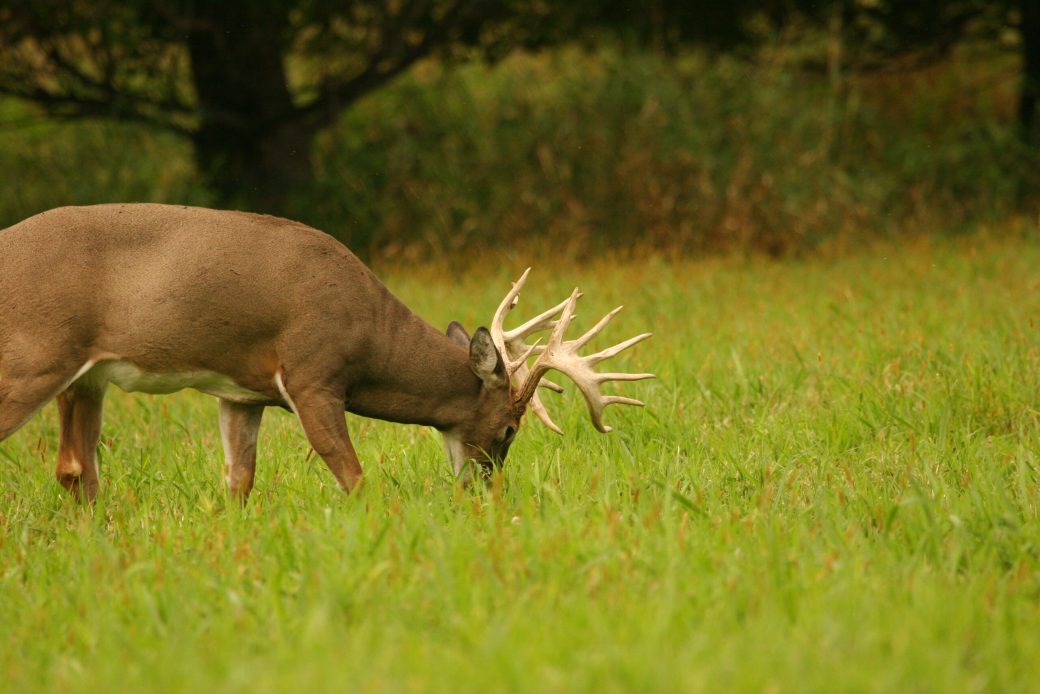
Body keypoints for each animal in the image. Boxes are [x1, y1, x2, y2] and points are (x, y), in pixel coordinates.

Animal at [0, 203, 648, 501]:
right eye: (511, 429)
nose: (485, 488)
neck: (368, 334)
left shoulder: (243, 392)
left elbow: (239, 479)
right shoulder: (313, 372)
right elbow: (352, 473)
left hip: (85, 376)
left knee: (74, 467)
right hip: (33, 355)